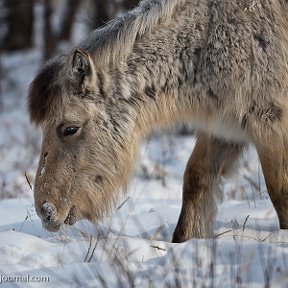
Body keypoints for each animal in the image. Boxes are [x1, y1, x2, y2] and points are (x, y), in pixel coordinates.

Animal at [28, 0, 288, 243]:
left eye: (70, 129)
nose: (45, 210)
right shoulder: (224, 129)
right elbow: (196, 180)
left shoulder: (271, 124)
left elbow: (279, 189)